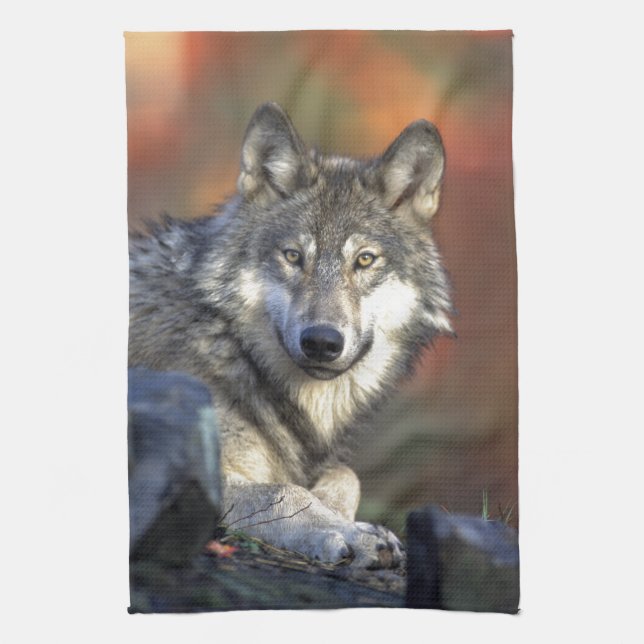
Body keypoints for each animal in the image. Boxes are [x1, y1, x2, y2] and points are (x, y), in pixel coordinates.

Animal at [129, 102, 453, 568]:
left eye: (365, 260)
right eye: (293, 256)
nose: (321, 342)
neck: (232, 348)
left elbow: (346, 475)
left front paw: (346, 520)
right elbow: (285, 491)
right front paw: (350, 534)